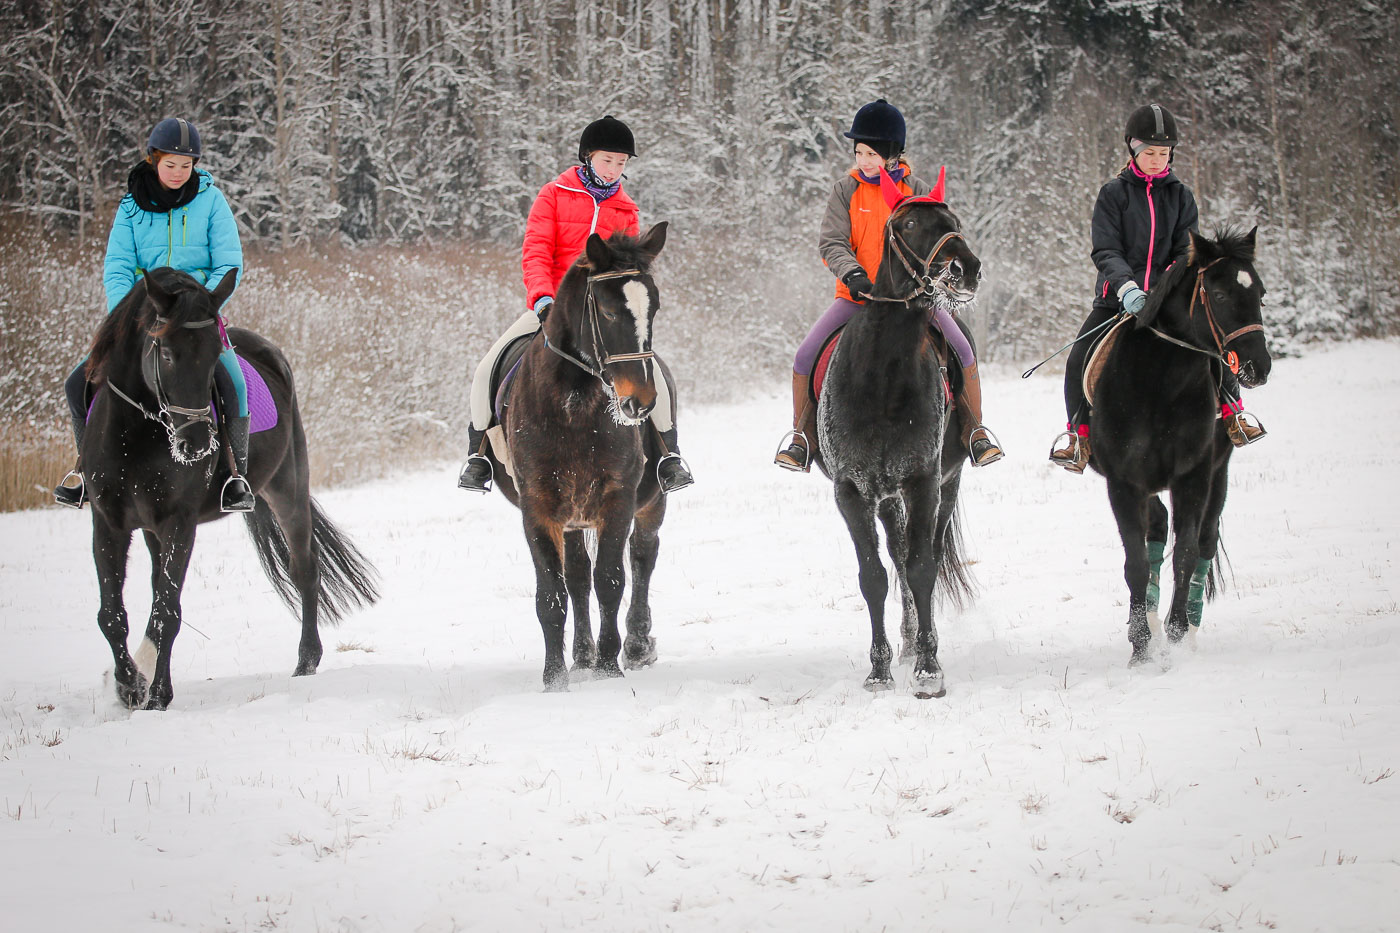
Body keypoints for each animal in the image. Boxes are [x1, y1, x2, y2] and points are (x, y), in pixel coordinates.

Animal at [79, 264, 380, 708]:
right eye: (165, 352)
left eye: (212, 356)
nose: (196, 443)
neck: (137, 436)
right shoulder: (108, 522)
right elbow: (113, 615)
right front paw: (129, 685)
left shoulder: (180, 522)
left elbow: (167, 612)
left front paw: (157, 695)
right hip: (153, 529)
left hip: (287, 489)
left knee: (305, 569)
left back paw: (306, 662)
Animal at [487, 224, 672, 689]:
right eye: (606, 311)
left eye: (654, 307)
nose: (640, 402)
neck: (574, 405)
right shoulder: (539, 509)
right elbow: (552, 594)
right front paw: (555, 679)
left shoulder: (617, 499)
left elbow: (612, 579)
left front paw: (609, 667)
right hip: (570, 517)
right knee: (576, 577)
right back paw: (582, 656)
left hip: (652, 502)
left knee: (643, 556)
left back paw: (635, 645)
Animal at [817, 176, 980, 697]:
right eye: (907, 224)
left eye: (954, 221)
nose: (965, 269)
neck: (881, 378)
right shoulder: (852, 492)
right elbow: (874, 576)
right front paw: (879, 669)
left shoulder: (924, 482)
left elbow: (922, 568)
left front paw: (929, 669)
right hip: (885, 497)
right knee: (897, 552)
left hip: (946, 484)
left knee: (920, 554)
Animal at [1086, 225, 1276, 661]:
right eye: (1219, 295)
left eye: (1259, 294)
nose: (1258, 366)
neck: (1160, 382)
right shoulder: (1124, 483)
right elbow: (1137, 563)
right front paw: (1141, 646)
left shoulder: (1193, 475)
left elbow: (1187, 553)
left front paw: (1175, 631)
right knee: (1156, 531)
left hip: (1218, 475)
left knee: (1205, 541)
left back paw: (1188, 625)